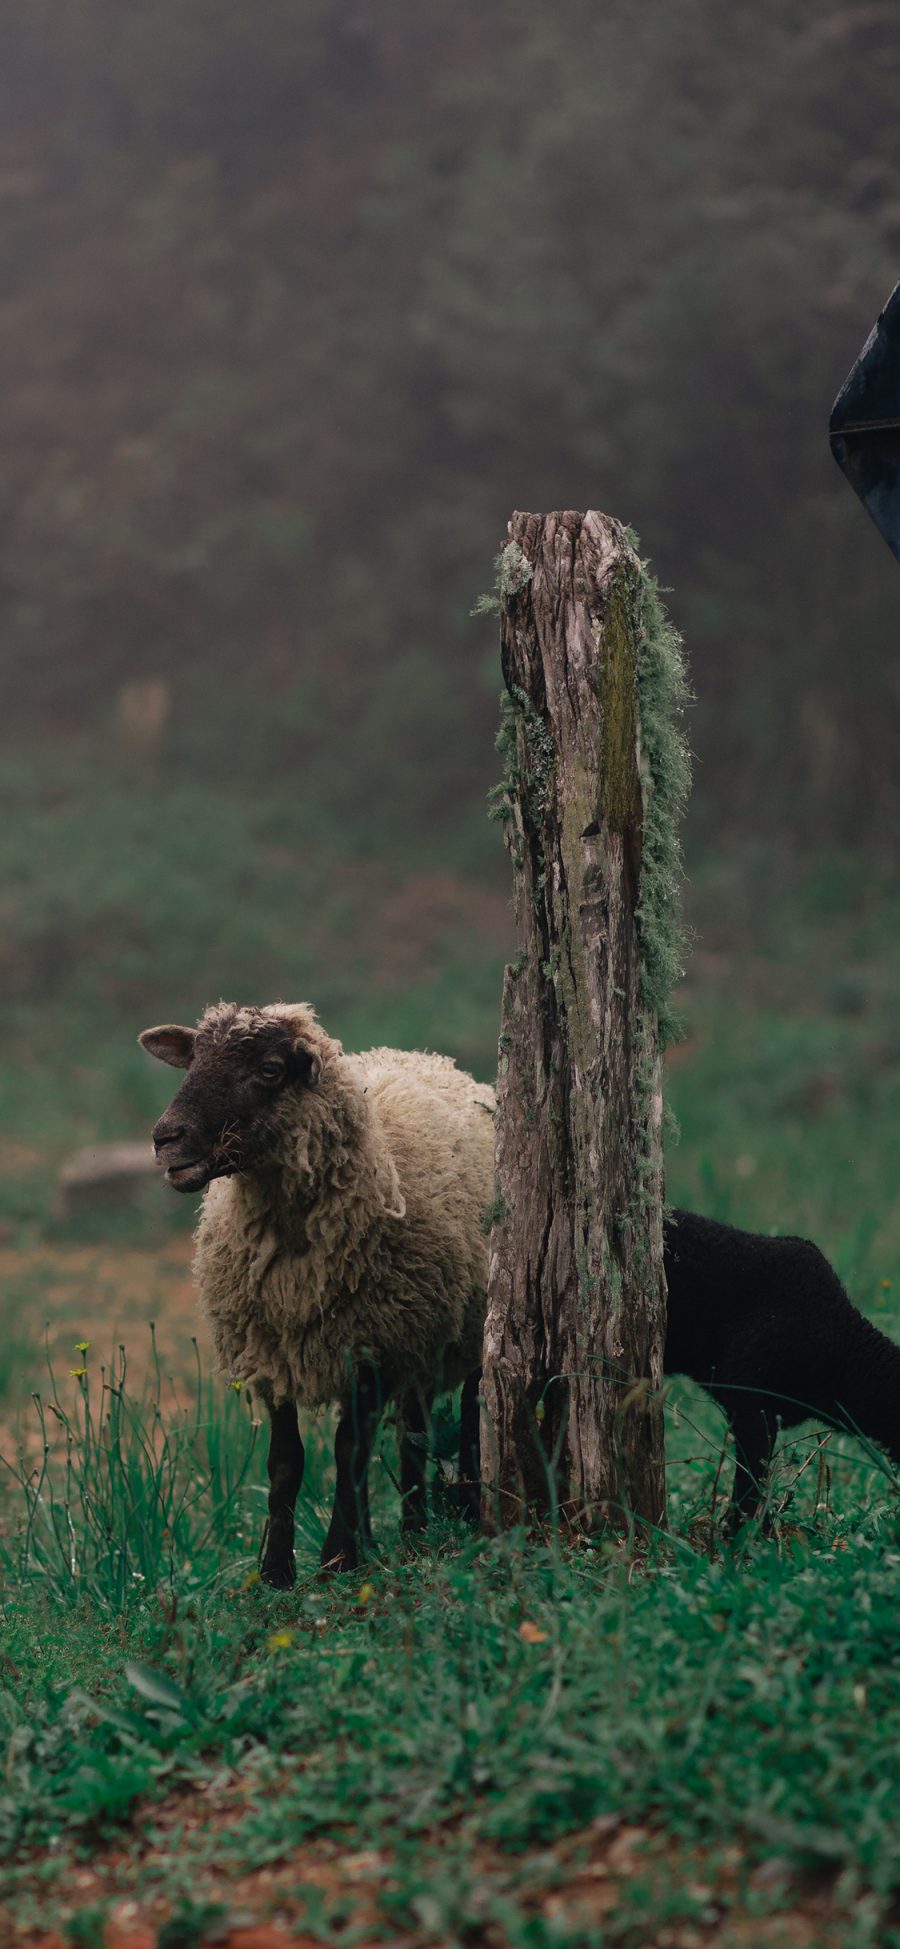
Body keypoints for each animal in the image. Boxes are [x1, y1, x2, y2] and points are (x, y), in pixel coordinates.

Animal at [137, 1005, 494, 1582]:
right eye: (193, 1061)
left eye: (269, 1069)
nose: (166, 1138)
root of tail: (430, 1059)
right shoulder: (273, 1348)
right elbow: (286, 1461)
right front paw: (277, 1572)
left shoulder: (371, 1344)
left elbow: (349, 1450)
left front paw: (337, 1560)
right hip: (415, 1340)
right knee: (412, 1431)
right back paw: (400, 1533)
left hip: (459, 1329)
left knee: (463, 1416)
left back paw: (437, 1520)